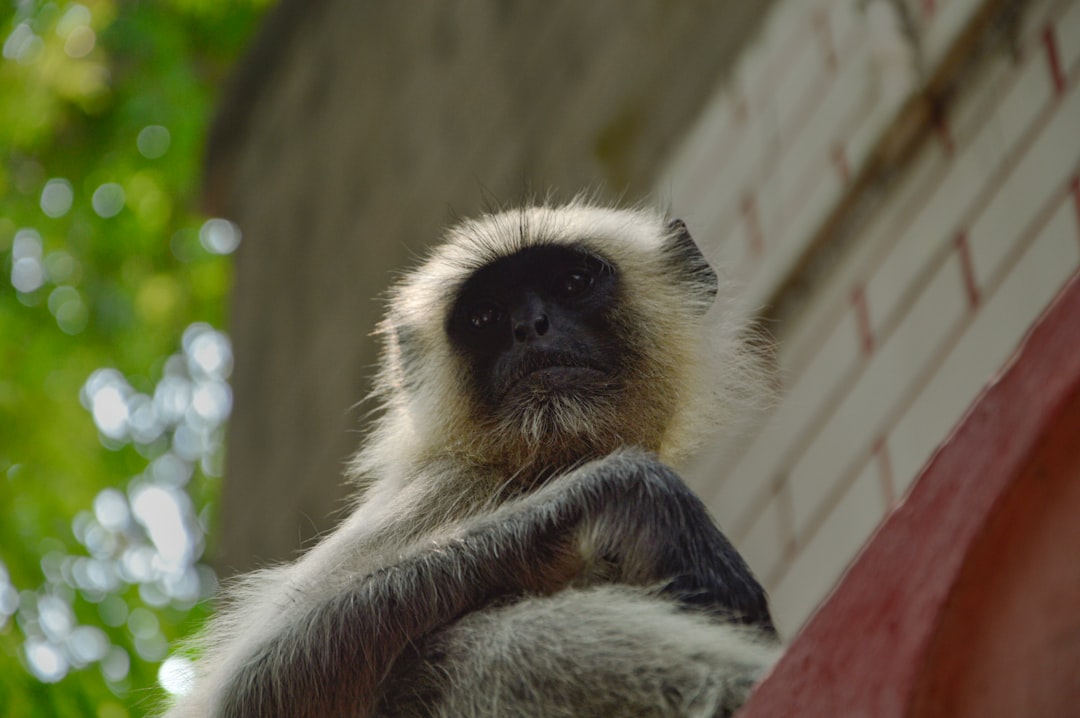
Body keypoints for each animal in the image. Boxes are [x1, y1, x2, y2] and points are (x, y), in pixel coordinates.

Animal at [163, 202, 780, 718]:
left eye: (573, 282)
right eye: (484, 317)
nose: (530, 327)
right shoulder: (450, 483)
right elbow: (255, 684)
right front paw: (637, 491)